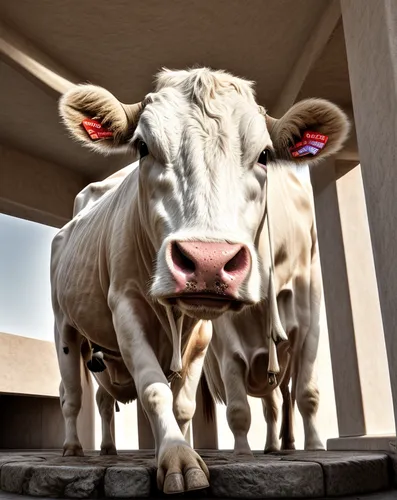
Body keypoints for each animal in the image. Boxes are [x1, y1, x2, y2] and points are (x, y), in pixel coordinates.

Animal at [51, 68, 348, 494]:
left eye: (264, 155)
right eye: (142, 147)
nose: (208, 261)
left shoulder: (209, 335)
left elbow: (185, 404)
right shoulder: (125, 309)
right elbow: (154, 390)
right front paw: (177, 457)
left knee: (104, 400)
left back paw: (107, 449)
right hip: (64, 326)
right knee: (71, 395)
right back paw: (74, 449)